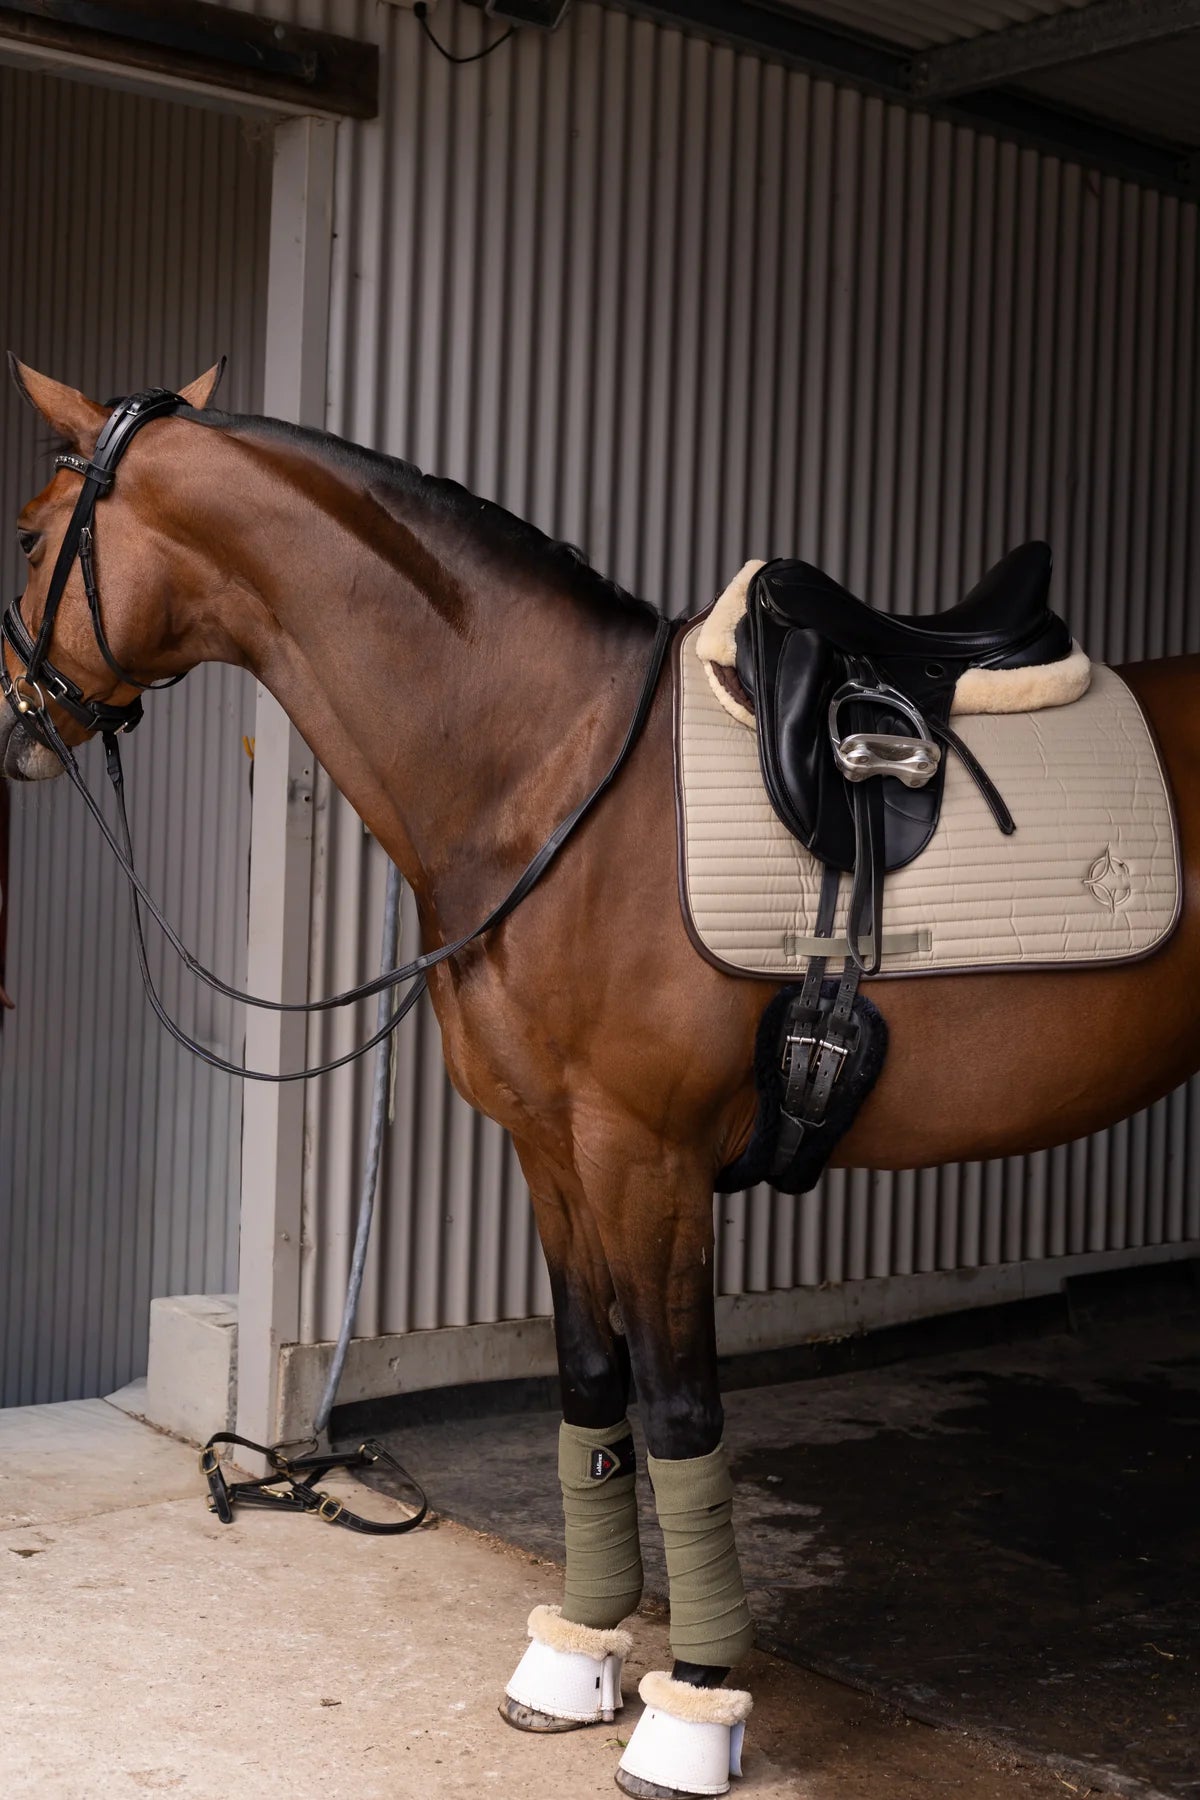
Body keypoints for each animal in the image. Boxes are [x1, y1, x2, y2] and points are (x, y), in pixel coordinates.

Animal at [4, 360, 1198, 1799]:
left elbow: (680, 1410)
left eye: (29, 535)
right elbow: (588, 1383)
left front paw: (694, 1707)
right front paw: (575, 1657)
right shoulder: (553, 1147)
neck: (550, 770)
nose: (16, 725)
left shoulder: (650, 1155)